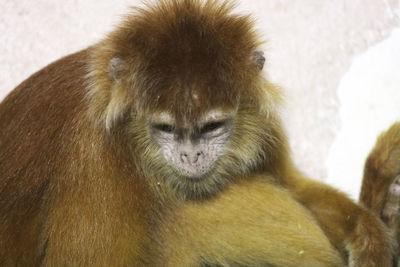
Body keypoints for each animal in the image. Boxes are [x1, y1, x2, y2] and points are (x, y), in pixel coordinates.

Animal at [0, 0, 396, 266]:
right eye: (166, 128)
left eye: (211, 127)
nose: (191, 155)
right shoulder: (95, 152)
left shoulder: (261, 116)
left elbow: (291, 183)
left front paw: (370, 232)